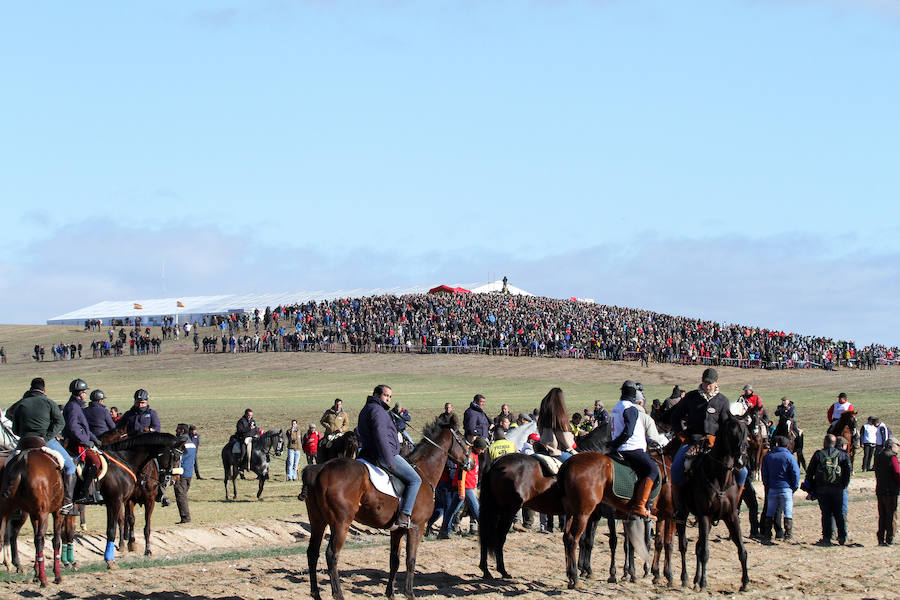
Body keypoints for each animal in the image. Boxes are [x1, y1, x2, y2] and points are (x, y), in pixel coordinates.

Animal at [0, 436, 64, 584]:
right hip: (42, 514)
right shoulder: (56, 512)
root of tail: (22, 462)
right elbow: (56, 541)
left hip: (6, 512)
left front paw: (36, 574)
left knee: (2, 536)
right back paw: (44, 580)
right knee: (40, 539)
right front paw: (56, 575)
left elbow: (34, 539)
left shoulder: (33, 515)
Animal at [95, 432, 183, 568]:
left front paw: (148, 550)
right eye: (176, 457)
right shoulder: (129, 500)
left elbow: (147, 526)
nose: (176, 477)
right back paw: (122, 544)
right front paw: (132, 543)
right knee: (121, 520)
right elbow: (131, 520)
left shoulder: (150, 501)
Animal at [302, 418, 472, 600]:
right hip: (340, 523)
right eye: (462, 439)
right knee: (332, 555)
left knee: (312, 553)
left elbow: (394, 561)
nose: (472, 463)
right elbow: (411, 560)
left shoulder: (397, 531)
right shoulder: (416, 528)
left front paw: (390, 593)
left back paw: (315, 593)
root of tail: (319, 469)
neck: (424, 471)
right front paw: (409, 593)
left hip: (318, 521)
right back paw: (338, 594)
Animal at [676, 418, 752, 592]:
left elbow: (742, 549)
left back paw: (696, 579)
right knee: (684, 545)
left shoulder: (731, 516)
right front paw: (704, 583)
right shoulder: (705, 515)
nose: (741, 460)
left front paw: (745, 582)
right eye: (732, 432)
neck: (720, 478)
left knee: (697, 546)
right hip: (683, 513)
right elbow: (704, 552)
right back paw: (685, 578)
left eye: (747, 432)